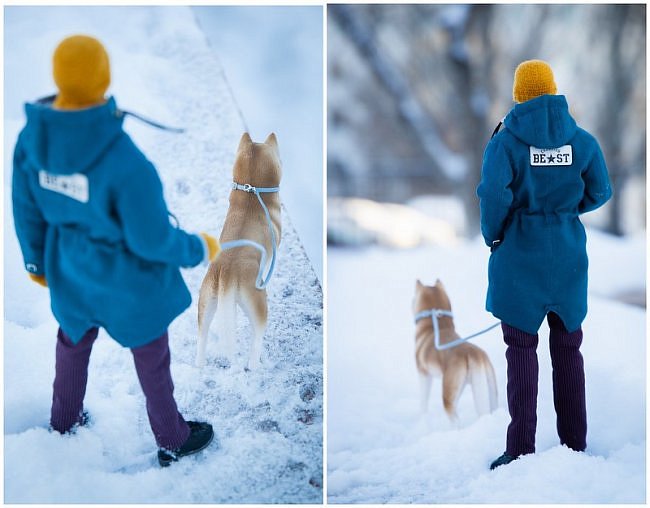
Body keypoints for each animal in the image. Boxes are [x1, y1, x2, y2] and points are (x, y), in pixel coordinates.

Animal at [196, 132, 280, 370]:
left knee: (202, 336)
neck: (251, 193)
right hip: (258, 304)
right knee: (257, 340)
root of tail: (227, 270)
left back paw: (200, 365)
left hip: (206, 303)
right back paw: (258, 363)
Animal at [412, 280, 498, 422]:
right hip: (489, 388)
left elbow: (423, 401)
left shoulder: (423, 373)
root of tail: (473, 354)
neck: (437, 326)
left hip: (449, 394)